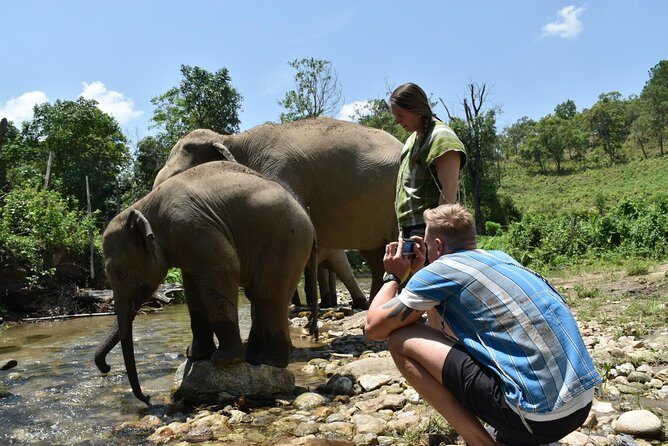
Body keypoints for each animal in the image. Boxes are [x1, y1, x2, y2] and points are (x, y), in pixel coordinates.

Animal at [98, 161, 315, 404]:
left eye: (121, 274)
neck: (146, 204)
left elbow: (224, 269)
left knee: (267, 295)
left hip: (287, 241)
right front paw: (194, 356)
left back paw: (269, 362)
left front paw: (223, 361)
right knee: (258, 295)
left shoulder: (193, 228)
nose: (147, 398)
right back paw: (254, 359)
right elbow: (192, 290)